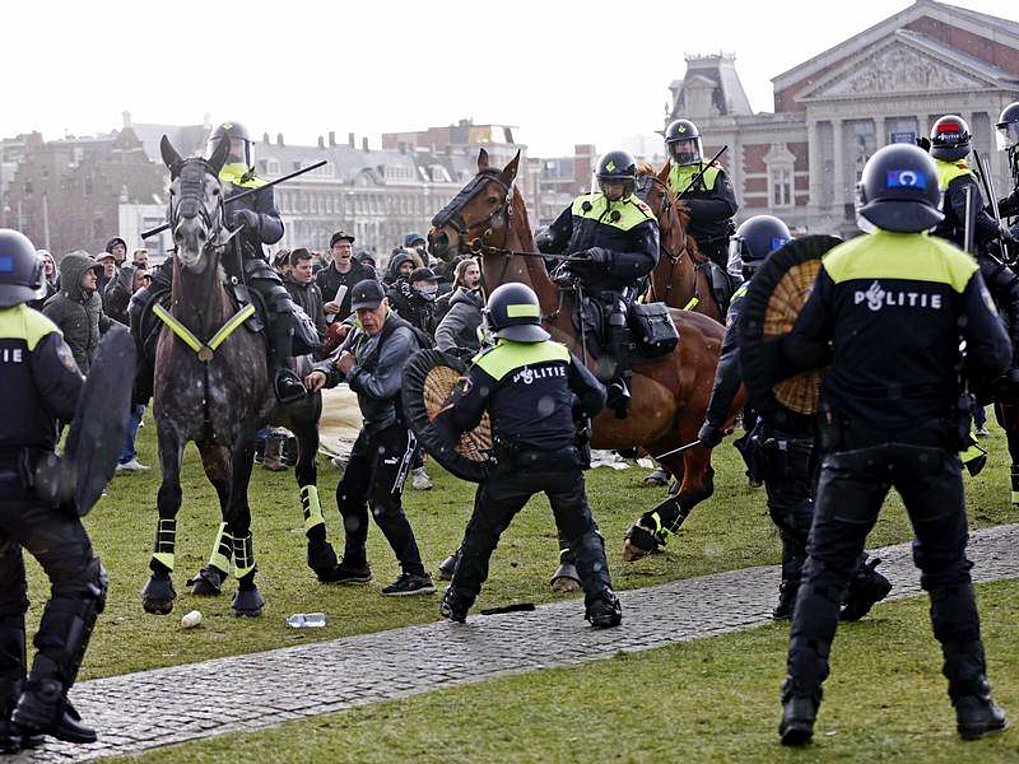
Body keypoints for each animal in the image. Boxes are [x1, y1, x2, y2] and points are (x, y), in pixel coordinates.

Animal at [139, 136, 336, 615]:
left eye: (216, 192)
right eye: (172, 190)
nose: (190, 237)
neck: (204, 325)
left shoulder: (242, 431)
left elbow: (240, 508)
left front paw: (248, 589)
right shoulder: (173, 427)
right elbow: (174, 496)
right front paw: (160, 582)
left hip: (303, 419)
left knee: (303, 473)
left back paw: (321, 552)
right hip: (211, 442)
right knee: (227, 491)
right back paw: (214, 571)